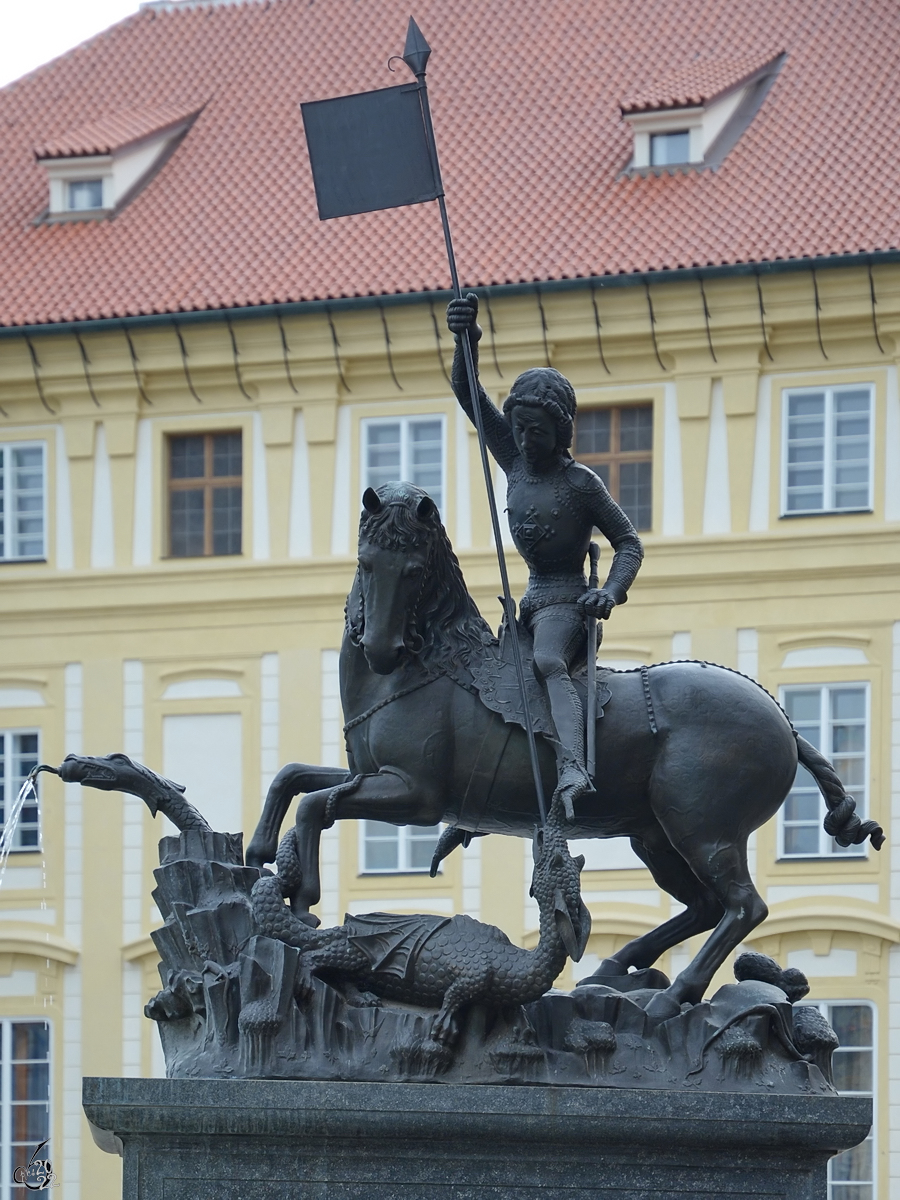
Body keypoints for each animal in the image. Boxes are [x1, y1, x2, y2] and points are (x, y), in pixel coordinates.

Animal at [248, 477, 888, 1012]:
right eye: (367, 562)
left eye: (413, 567)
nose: (382, 649)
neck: (426, 668)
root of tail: (781, 719)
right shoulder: (373, 776)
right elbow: (294, 777)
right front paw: (259, 851)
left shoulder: (417, 796)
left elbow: (315, 805)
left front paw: (303, 897)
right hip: (654, 836)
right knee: (704, 907)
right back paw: (616, 968)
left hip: (703, 830)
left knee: (742, 907)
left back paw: (671, 995)